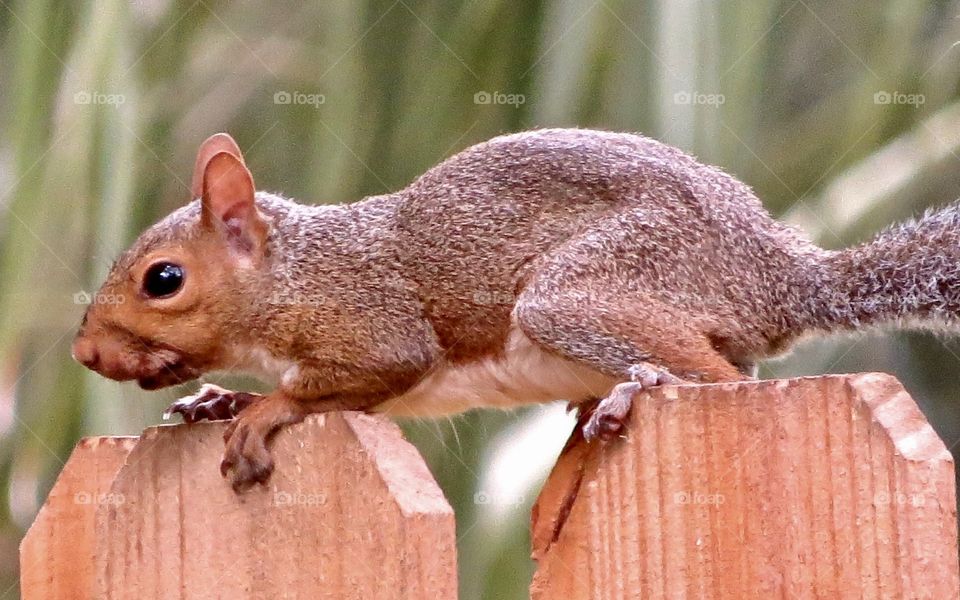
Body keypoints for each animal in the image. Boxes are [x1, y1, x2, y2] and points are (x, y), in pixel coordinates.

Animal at [72, 129, 960, 491]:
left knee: (721, 378)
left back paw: (637, 388)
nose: (87, 355)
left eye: (162, 280)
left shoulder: (372, 321)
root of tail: (777, 272)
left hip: (578, 293)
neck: (296, 271)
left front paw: (261, 409)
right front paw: (222, 397)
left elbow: (357, 373)